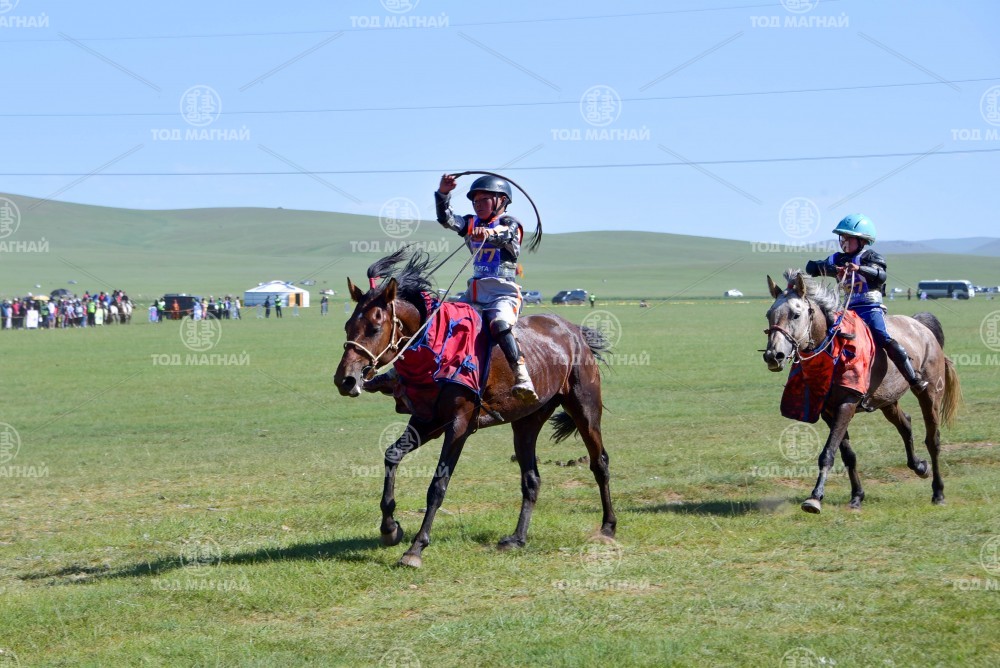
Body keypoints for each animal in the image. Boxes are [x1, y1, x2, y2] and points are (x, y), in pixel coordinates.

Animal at [333, 249, 617, 568]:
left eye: (374, 328)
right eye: (348, 326)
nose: (345, 379)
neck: (439, 346)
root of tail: (574, 332)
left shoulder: (459, 426)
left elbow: (438, 485)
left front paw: (415, 548)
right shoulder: (427, 421)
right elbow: (392, 455)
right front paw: (390, 528)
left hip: (584, 408)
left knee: (599, 462)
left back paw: (608, 527)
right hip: (527, 422)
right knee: (531, 479)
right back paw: (517, 538)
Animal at [762, 270, 961, 513]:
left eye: (795, 315)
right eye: (769, 314)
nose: (773, 355)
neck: (834, 350)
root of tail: (922, 327)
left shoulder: (847, 403)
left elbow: (828, 452)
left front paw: (815, 498)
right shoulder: (828, 411)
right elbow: (848, 454)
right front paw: (857, 496)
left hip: (930, 394)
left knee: (933, 440)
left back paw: (938, 492)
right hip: (887, 400)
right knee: (905, 424)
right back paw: (919, 467)